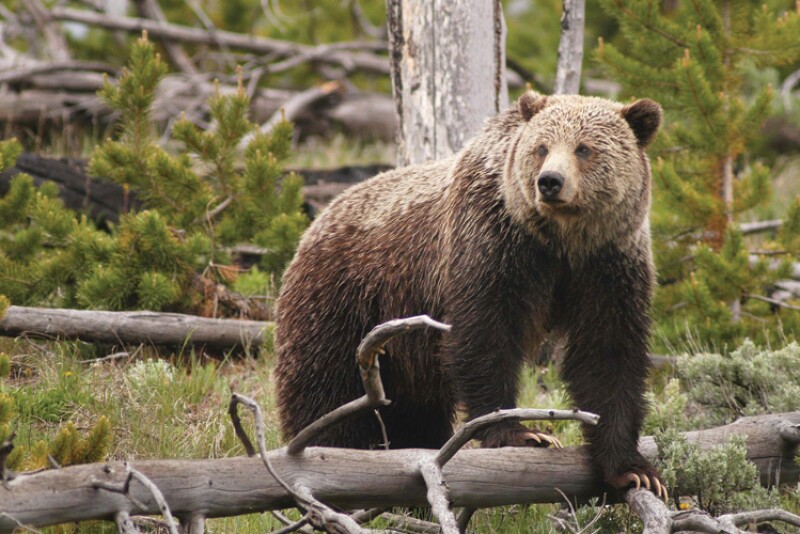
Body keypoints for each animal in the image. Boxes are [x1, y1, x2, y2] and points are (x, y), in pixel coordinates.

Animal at [274, 91, 665, 495]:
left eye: (584, 148)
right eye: (541, 147)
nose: (550, 181)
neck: (559, 242)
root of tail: (317, 221)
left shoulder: (607, 266)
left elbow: (607, 354)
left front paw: (633, 469)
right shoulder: (490, 245)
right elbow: (484, 336)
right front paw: (523, 433)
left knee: (414, 414)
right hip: (343, 303)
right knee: (327, 392)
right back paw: (327, 454)